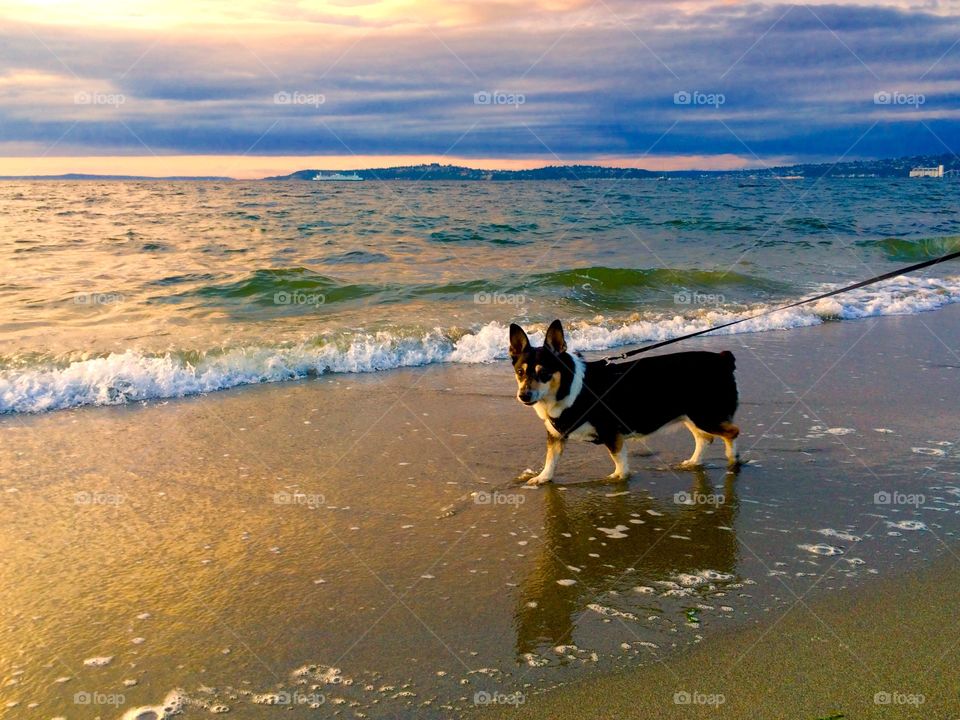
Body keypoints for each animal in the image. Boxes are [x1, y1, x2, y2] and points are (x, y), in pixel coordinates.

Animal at [510, 320, 744, 484]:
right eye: (520, 372)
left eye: (544, 373)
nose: (524, 396)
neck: (567, 388)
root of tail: (723, 359)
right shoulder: (556, 435)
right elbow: (551, 459)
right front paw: (543, 478)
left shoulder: (611, 433)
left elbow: (619, 461)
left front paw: (619, 478)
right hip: (691, 416)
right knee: (705, 438)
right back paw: (694, 462)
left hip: (704, 415)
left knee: (731, 432)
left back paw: (732, 460)